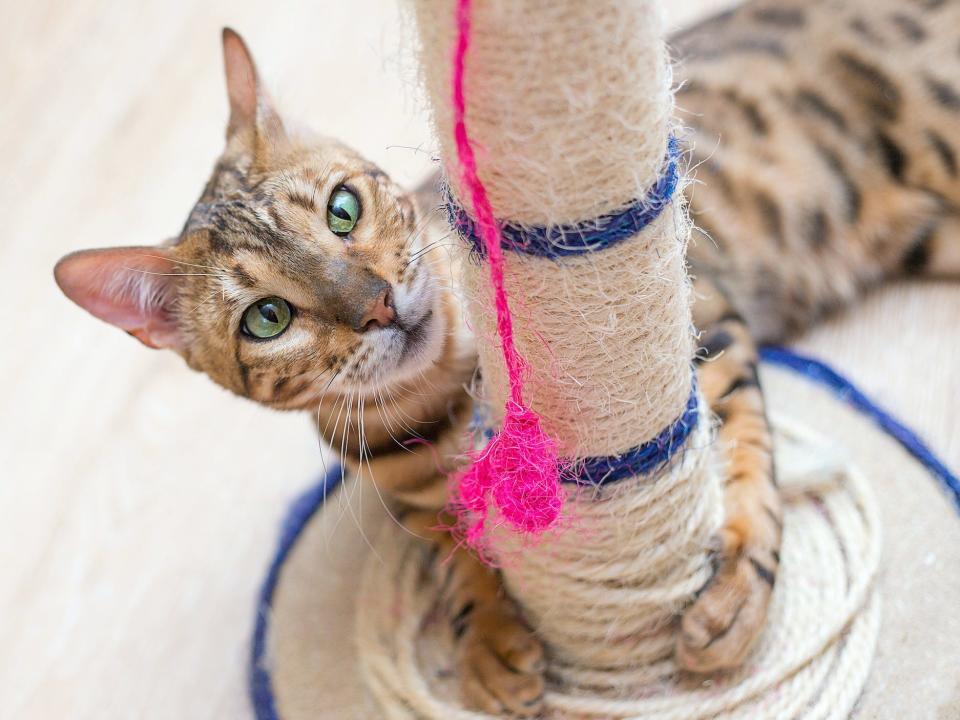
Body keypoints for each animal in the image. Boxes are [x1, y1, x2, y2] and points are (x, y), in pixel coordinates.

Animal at [54, 0, 960, 716]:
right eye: (267, 318)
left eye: (343, 210)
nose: (375, 302)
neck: (444, 401)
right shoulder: (408, 496)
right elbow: (455, 558)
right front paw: (488, 636)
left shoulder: (706, 313)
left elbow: (741, 447)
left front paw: (737, 581)